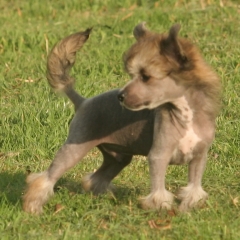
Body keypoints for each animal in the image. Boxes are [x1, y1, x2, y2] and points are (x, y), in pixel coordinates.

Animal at [23, 22, 221, 214]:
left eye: (145, 76)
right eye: (132, 75)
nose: (121, 96)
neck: (185, 115)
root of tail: (83, 101)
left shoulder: (199, 157)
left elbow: (194, 186)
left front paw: (189, 206)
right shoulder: (159, 155)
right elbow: (158, 188)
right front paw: (162, 208)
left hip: (117, 157)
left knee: (96, 177)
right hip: (74, 148)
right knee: (45, 178)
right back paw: (33, 207)